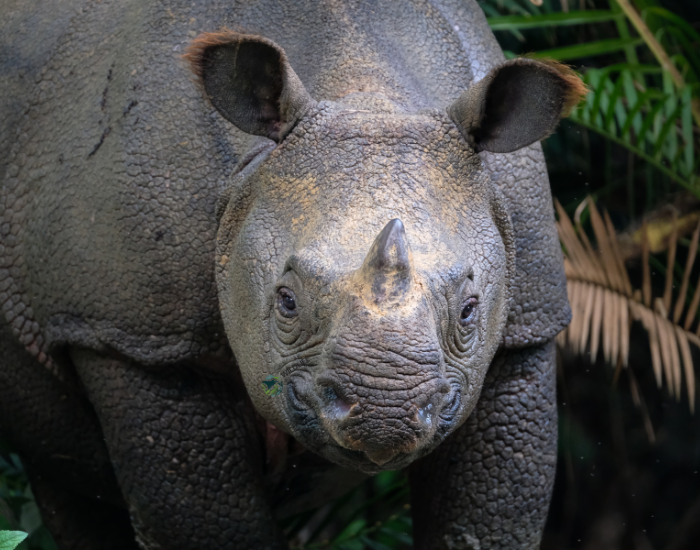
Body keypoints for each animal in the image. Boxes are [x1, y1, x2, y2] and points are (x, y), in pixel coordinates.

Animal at [0, 0, 585, 548]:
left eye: (469, 310)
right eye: (285, 302)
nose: (384, 411)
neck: (366, 94)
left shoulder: (527, 320)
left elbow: (489, 517)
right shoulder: (131, 335)